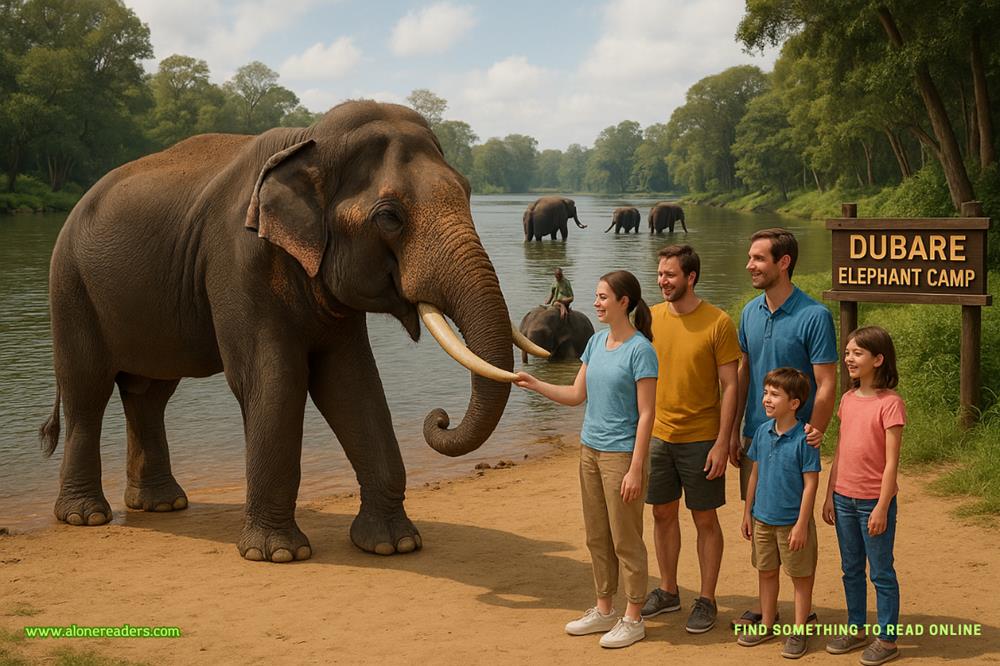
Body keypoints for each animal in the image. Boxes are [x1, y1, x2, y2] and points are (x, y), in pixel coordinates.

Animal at [39, 100, 547, 563]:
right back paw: (87, 516)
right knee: (87, 390)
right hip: (70, 287)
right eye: (389, 217)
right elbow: (273, 380)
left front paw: (394, 545)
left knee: (149, 394)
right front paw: (278, 554)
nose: (439, 417)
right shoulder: (239, 261)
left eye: (468, 192)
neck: (310, 141)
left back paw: (163, 505)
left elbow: (352, 383)